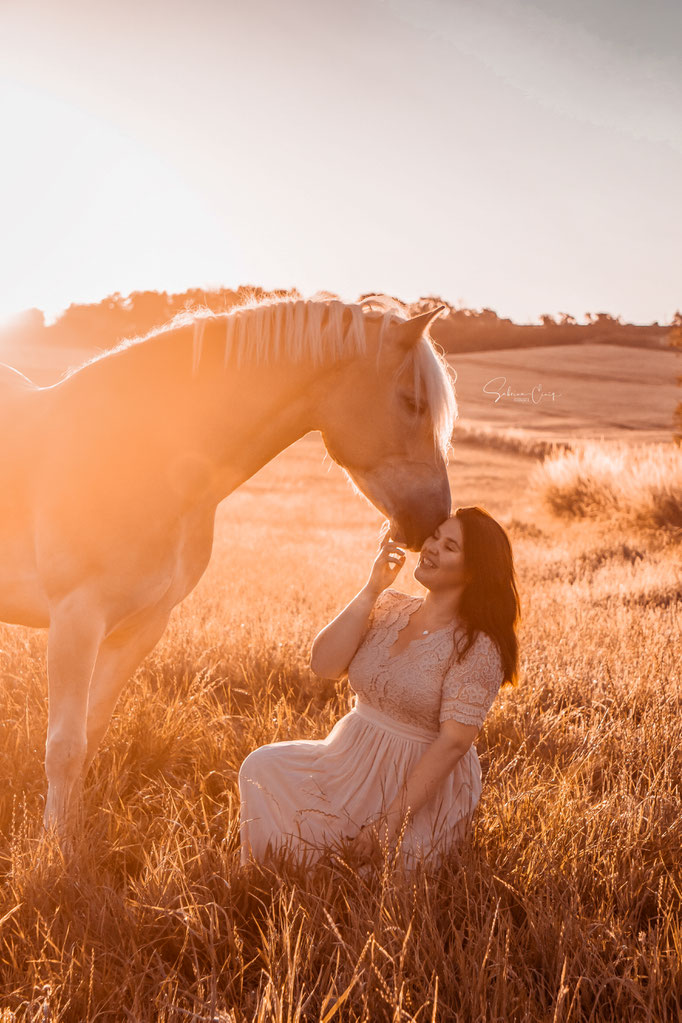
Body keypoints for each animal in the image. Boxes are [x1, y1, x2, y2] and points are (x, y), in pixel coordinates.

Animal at [1, 292, 458, 834]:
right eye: (413, 403)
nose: (435, 520)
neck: (136, 459)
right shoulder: (76, 618)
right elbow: (65, 749)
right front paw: (55, 845)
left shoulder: (142, 625)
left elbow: (90, 735)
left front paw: (74, 833)